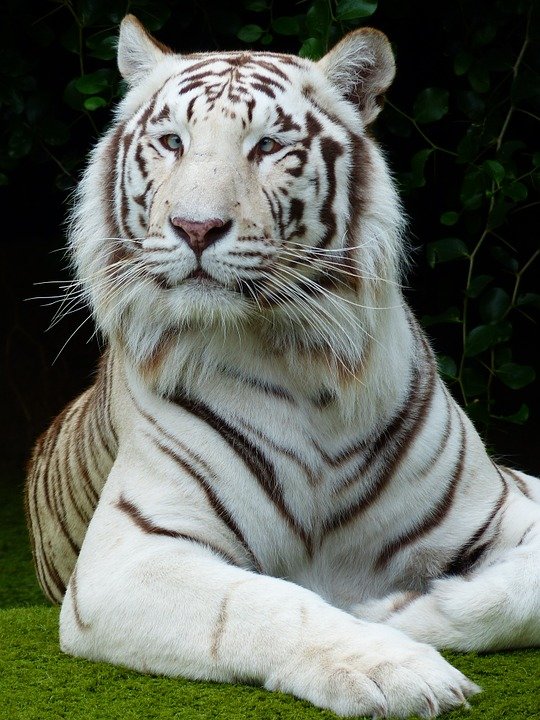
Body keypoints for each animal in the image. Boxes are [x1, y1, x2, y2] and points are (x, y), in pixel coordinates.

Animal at [25, 14, 540, 719]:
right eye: (172, 142)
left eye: (267, 146)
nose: (195, 227)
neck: (305, 366)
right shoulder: (128, 556)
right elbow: (265, 604)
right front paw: (396, 665)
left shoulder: (508, 508)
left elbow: (521, 593)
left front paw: (399, 612)